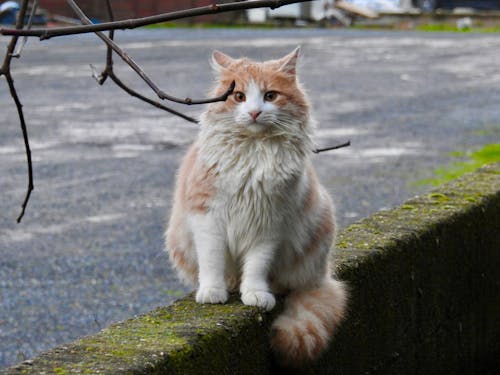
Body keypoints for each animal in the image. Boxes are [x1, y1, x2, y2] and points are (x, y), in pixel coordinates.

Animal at [166, 47, 346, 368]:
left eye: (270, 95)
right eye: (238, 96)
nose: (254, 112)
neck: (254, 152)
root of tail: (322, 274)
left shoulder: (270, 224)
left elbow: (257, 265)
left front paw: (255, 292)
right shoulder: (207, 218)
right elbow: (212, 260)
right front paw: (212, 291)